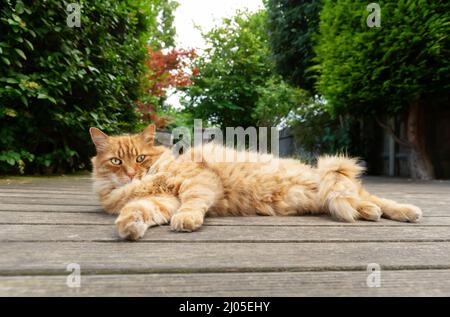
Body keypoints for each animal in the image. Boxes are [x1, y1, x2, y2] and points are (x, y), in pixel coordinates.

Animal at [90, 123, 422, 239]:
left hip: (332, 184)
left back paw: (408, 212)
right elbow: (141, 210)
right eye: (117, 162)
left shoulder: (198, 181)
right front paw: (129, 225)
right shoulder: (163, 199)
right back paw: (372, 213)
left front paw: (186, 220)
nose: (132, 174)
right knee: (363, 202)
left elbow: (192, 203)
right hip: (328, 197)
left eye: (140, 159)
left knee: (375, 199)